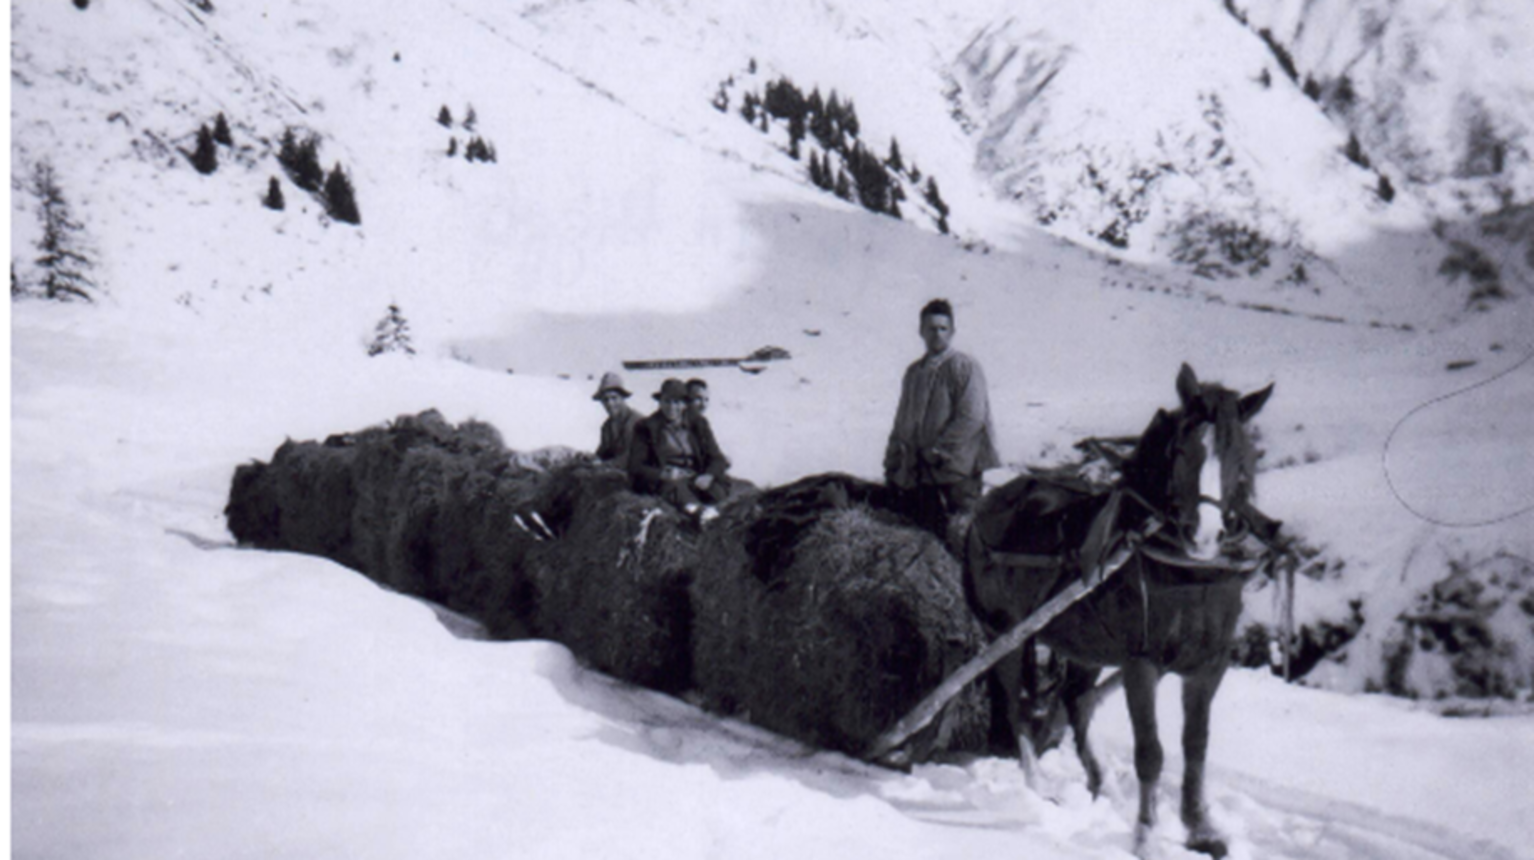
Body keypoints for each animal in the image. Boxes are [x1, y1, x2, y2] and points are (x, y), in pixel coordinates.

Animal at [969, 363, 1282, 858]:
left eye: (1241, 452)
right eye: (1181, 450)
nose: (1206, 535)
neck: (1191, 573)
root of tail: (988, 502)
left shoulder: (1208, 666)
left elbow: (1195, 746)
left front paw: (1200, 828)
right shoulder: (1141, 664)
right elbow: (1151, 752)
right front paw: (1146, 835)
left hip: (1084, 647)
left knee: (1076, 702)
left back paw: (1101, 783)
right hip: (1005, 635)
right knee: (1016, 704)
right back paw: (1037, 785)